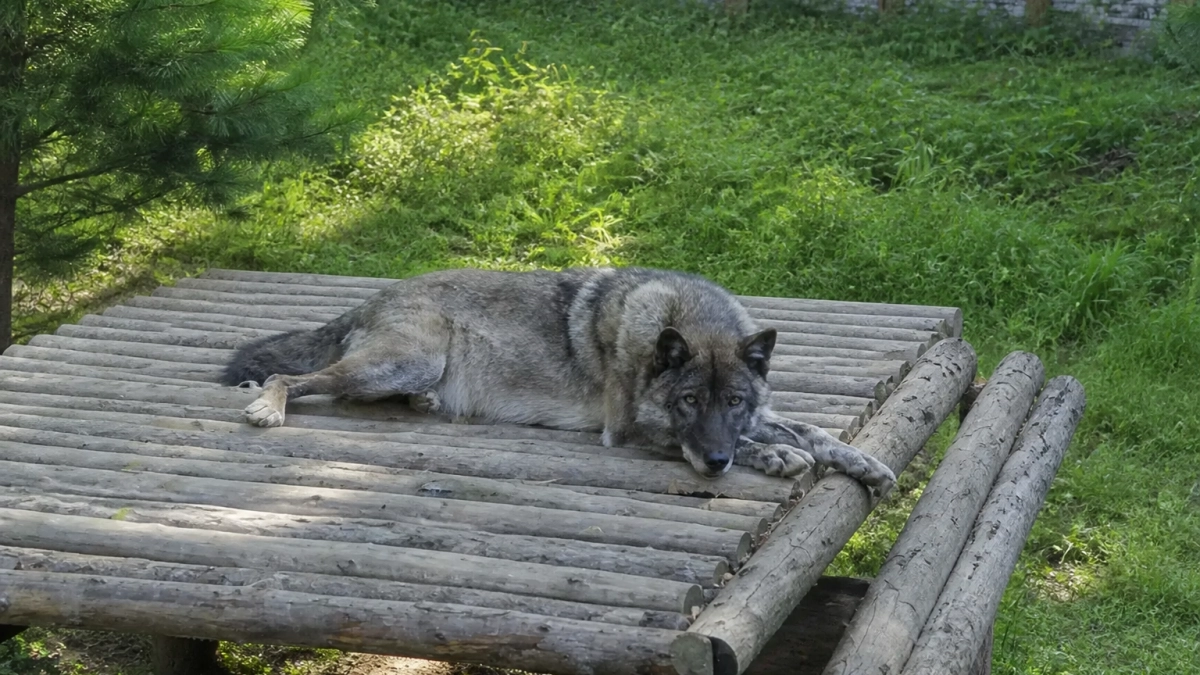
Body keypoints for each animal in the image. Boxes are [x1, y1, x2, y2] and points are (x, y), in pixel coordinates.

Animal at [222, 267, 895, 494]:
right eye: (687, 401)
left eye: (732, 399)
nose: (716, 465)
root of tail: (371, 297)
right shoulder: (630, 430)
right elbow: (768, 442)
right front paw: (775, 456)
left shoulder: (753, 415)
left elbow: (811, 430)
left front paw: (863, 463)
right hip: (404, 360)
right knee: (289, 376)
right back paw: (267, 409)